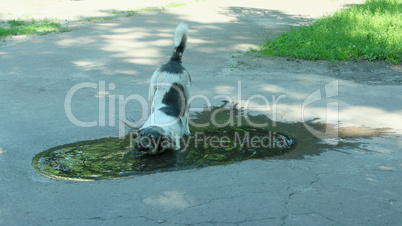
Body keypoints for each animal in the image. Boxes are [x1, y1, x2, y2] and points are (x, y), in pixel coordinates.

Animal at [135, 22, 192, 154]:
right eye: (141, 135)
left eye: (151, 139)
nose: (137, 144)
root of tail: (174, 61)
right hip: (151, 91)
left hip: (187, 96)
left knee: (187, 115)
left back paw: (187, 130)